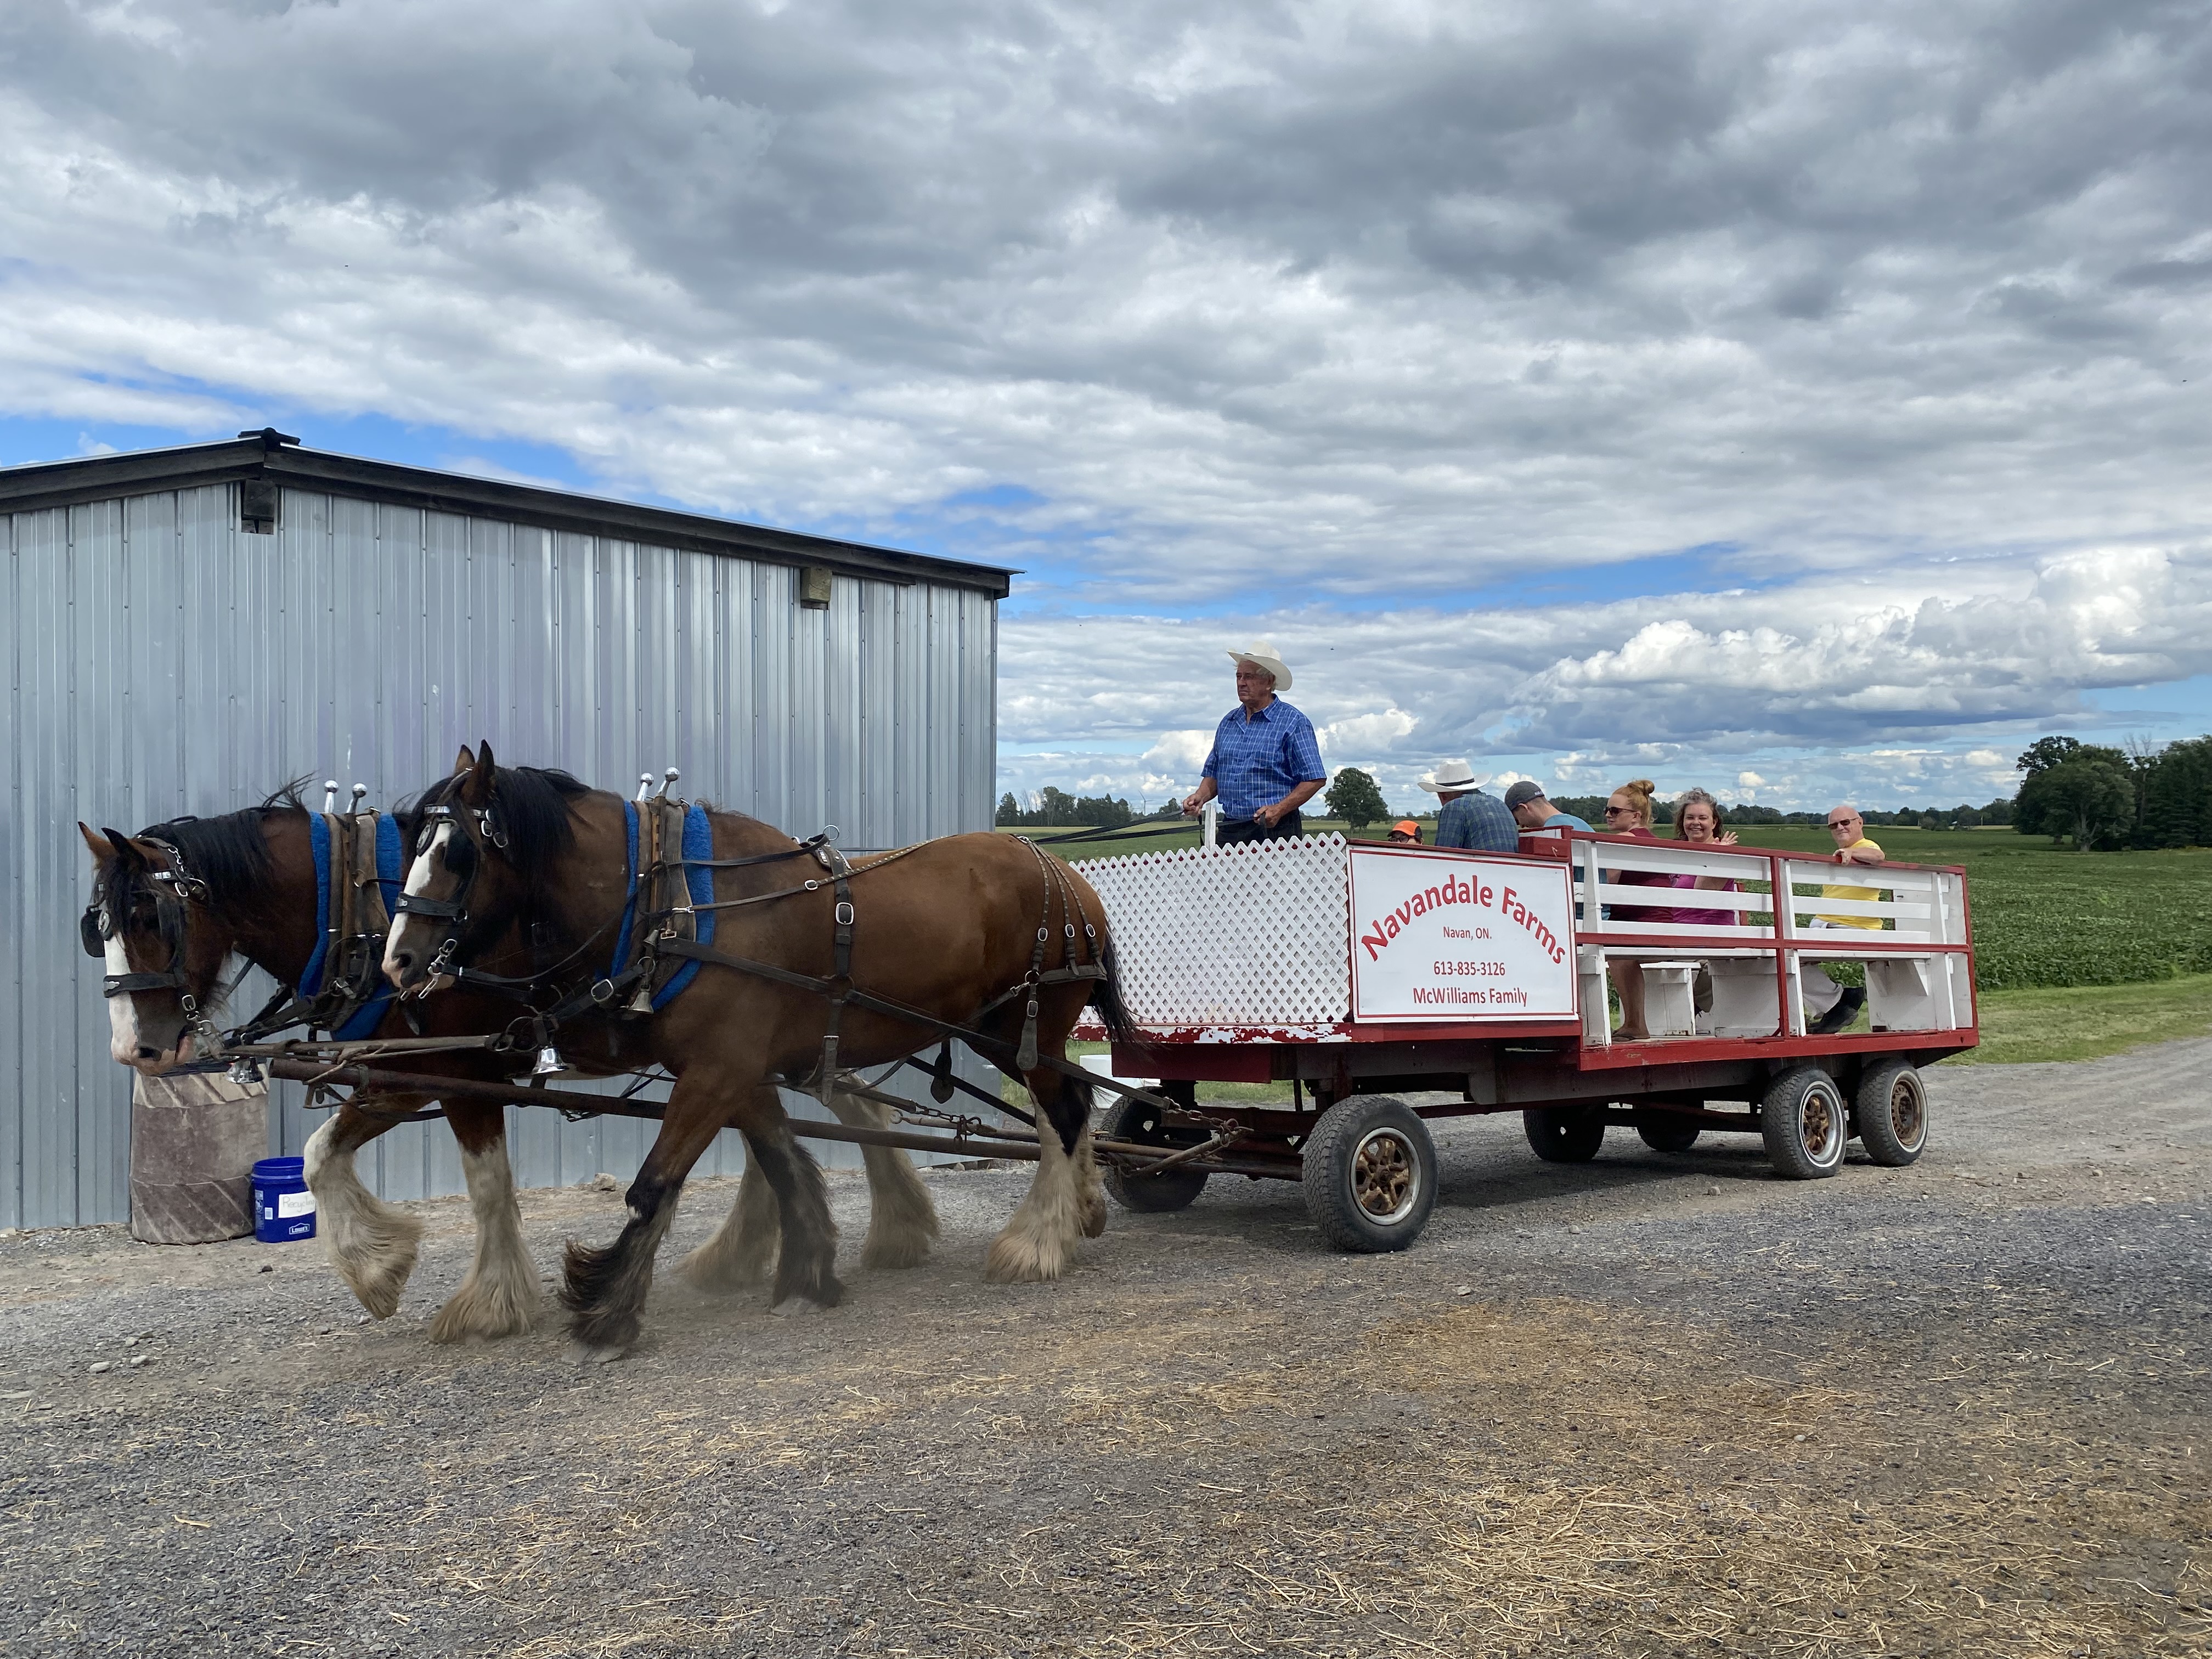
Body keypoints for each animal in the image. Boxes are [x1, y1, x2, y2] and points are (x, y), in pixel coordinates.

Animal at [76, 787, 942, 1345]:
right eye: (97, 928)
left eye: (149, 916)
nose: (133, 1049)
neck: (362, 914)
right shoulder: (403, 1072)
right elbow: (324, 1156)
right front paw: (382, 1270)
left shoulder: (449, 1070)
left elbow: (484, 1186)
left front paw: (469, 1300)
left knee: (853, 1110)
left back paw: (888, 1232)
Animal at [382, 752, 1132, 1362]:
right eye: (412, 842)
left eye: (459, 852)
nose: (399, 961)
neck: (678, 906)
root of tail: (1072, 881)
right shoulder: (734, 1071)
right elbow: (783, 1162)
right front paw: (807, 1272)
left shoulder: (718, 1073)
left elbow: (653, 1187)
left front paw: (607, 1312)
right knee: (1065, 1113)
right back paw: (1081, 1213)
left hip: (1021, 1033)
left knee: (1066, 1117)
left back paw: (1037, 1242)